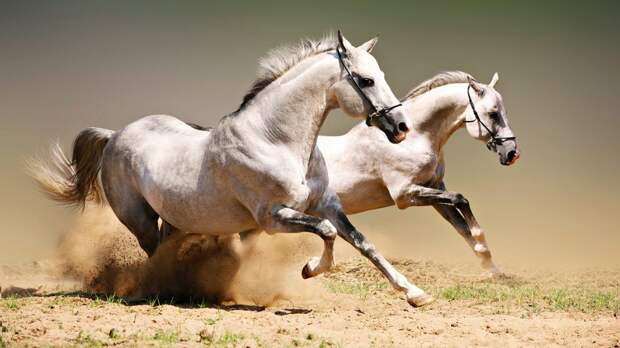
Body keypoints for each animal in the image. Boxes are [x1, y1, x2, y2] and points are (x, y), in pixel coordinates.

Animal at [32, 31, 436, 306]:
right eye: (366, 80)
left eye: (380, 75)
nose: (401, 127)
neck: (276, 140)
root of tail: (115, 135)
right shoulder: (272, 218)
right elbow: (327, 233)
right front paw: (309, 269)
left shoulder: (326, 204)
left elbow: (363, 243)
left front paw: (414, 293)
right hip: (139, 219)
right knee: (153, 254)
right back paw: (163, 290)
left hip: (176, 219)